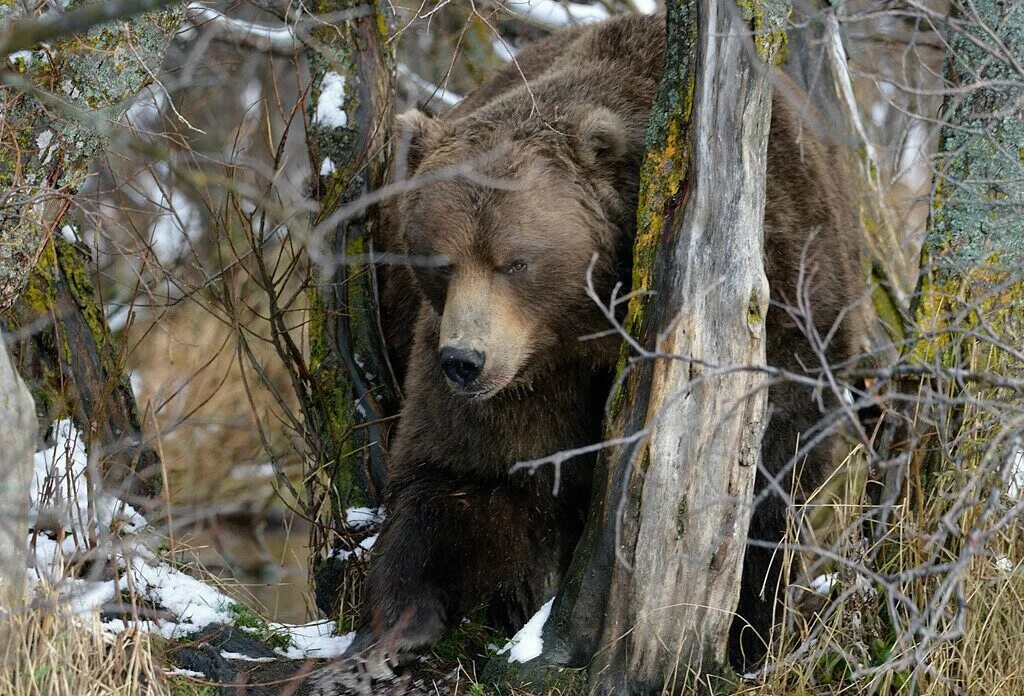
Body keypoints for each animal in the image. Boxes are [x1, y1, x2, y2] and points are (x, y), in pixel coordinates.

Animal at [309, 12, 864, 696]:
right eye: (441, 260)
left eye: (515, 261)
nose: (465, 360)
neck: (588, 323)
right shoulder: (518, 370)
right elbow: (468, 477)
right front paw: (379, 643)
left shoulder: (786, 292)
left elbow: (769, 474)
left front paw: (747, 634)